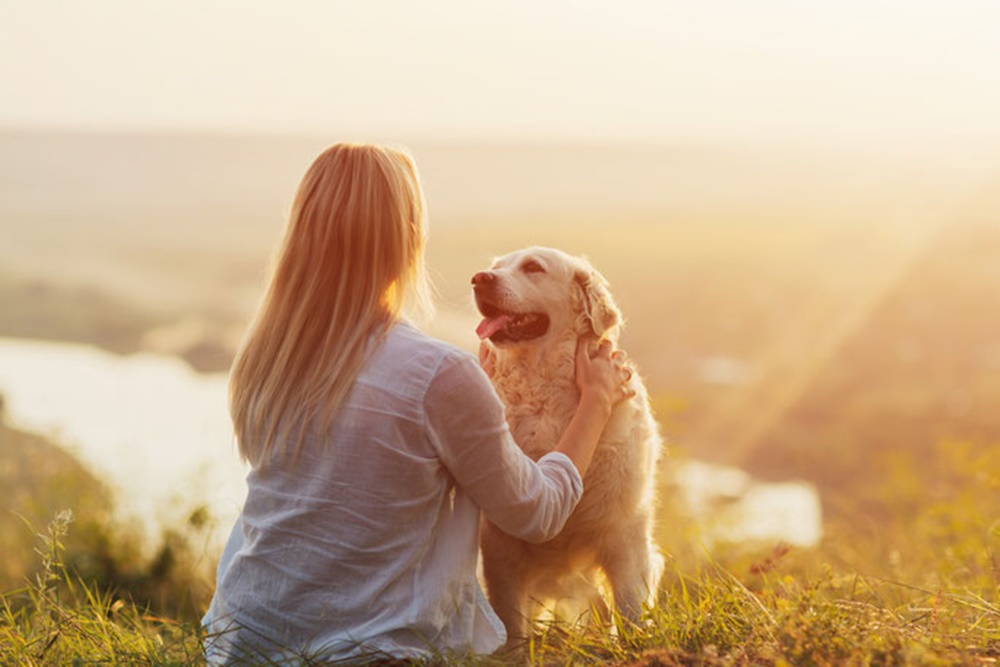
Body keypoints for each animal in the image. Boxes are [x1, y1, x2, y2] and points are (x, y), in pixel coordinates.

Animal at [474, 247, 668, 640]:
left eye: (533, 267)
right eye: (495, 267)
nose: (479, 279)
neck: (545, 400)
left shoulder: (624, 537)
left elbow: (630, 609)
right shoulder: (501, 547)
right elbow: (511, 623)